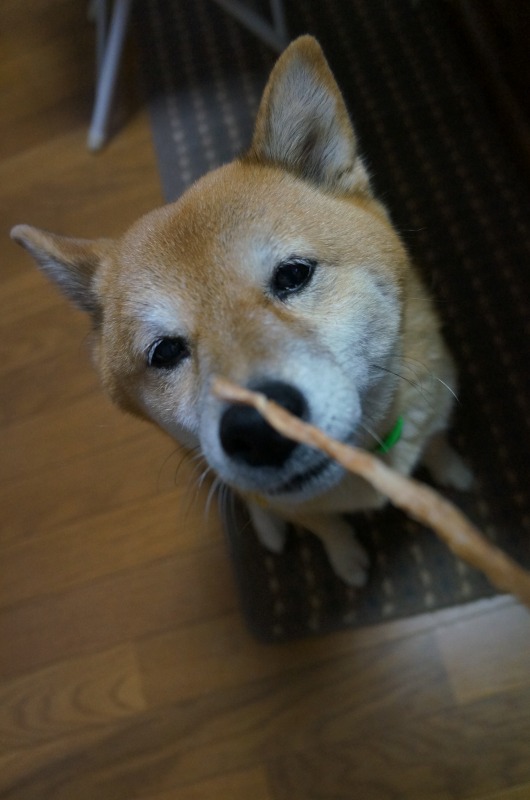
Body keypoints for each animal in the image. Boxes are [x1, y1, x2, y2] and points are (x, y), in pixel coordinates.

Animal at [11, 36, 471, 586]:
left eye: (293, 275)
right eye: (165, 352)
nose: (257, 429)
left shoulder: (434, 406)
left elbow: (438, 442)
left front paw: (454, 473)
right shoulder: (292, 503)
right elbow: (326, 527)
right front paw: (347, 559)